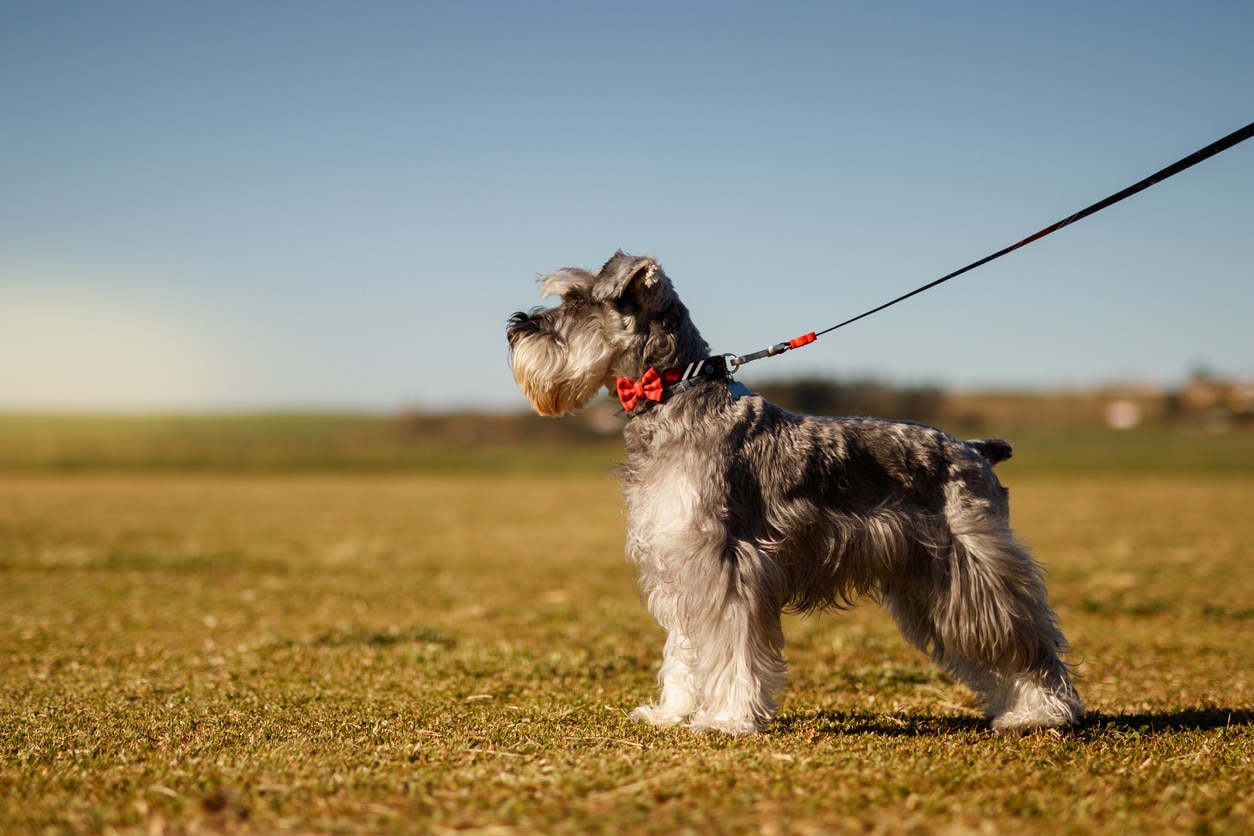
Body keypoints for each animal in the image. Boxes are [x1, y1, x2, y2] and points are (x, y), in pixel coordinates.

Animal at [504, 251, 1083, 736]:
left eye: (578, 301)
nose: (515, 328)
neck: (673, 395)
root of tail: (975, 449)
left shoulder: (725, 564)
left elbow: (730, 649)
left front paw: (728, 720)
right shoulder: (679, 562)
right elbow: (685, 649)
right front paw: (673, 712)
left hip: (973, 576)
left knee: (1031, 645)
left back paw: (1041, 713)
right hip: (930, 583)